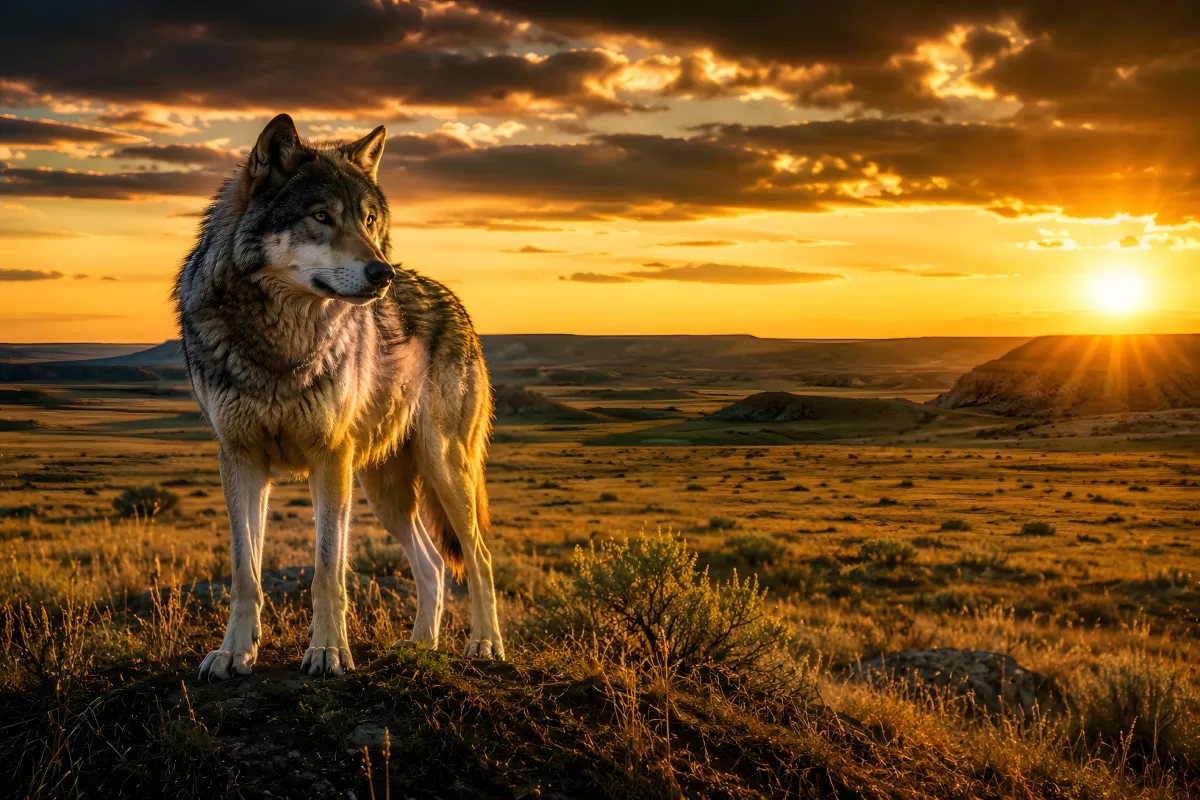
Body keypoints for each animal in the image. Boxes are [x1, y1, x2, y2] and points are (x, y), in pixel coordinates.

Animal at [173, 114, 503, 680]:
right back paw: (420, 646)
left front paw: (328, 652)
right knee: (434, 564)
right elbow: (244, 572)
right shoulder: (239, 457)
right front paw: (234, 653)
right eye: (321, 216)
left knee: (478, 557)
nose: (382, 273)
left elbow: (328, 569)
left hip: (441, 467)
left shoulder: (329, 458)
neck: (281, 342)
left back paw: (484, 644)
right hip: (383, 491)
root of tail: (456, 303)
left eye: (369, 220)